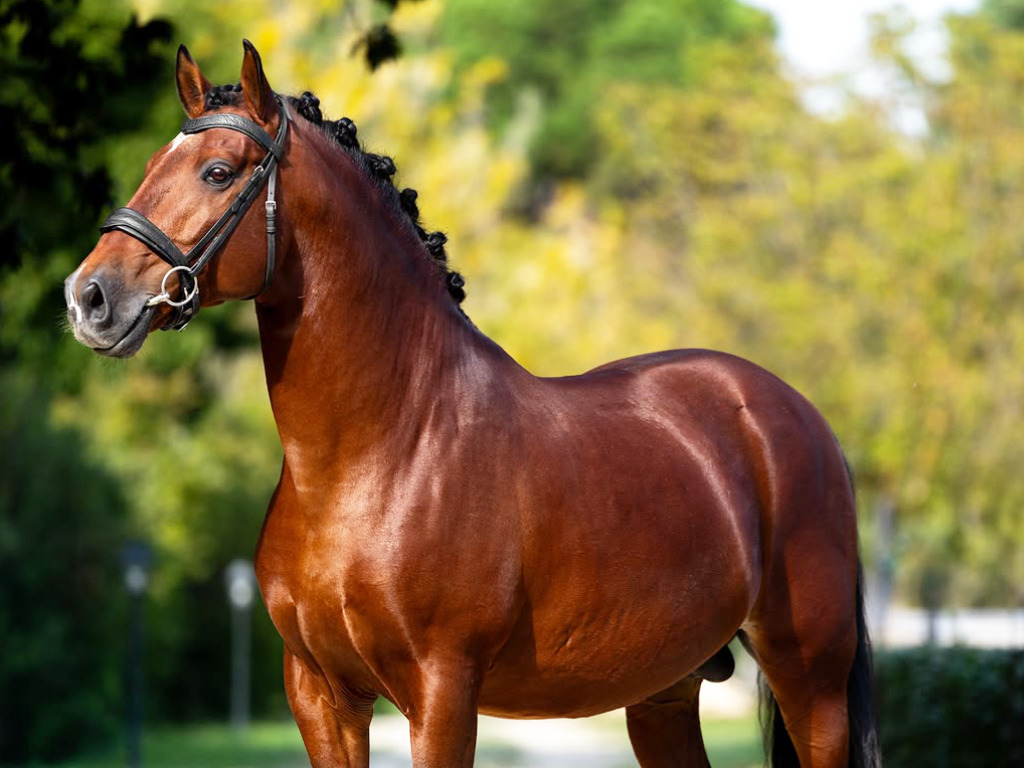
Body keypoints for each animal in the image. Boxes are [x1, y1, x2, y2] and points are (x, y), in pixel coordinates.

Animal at [64, 41, 881, 768]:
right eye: (149, 167)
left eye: (217, 171)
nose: (89, 298)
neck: (378, 453)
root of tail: (795, 414)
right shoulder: (320, 693)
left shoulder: (441, 694)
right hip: (665, 693)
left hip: (811, 682)